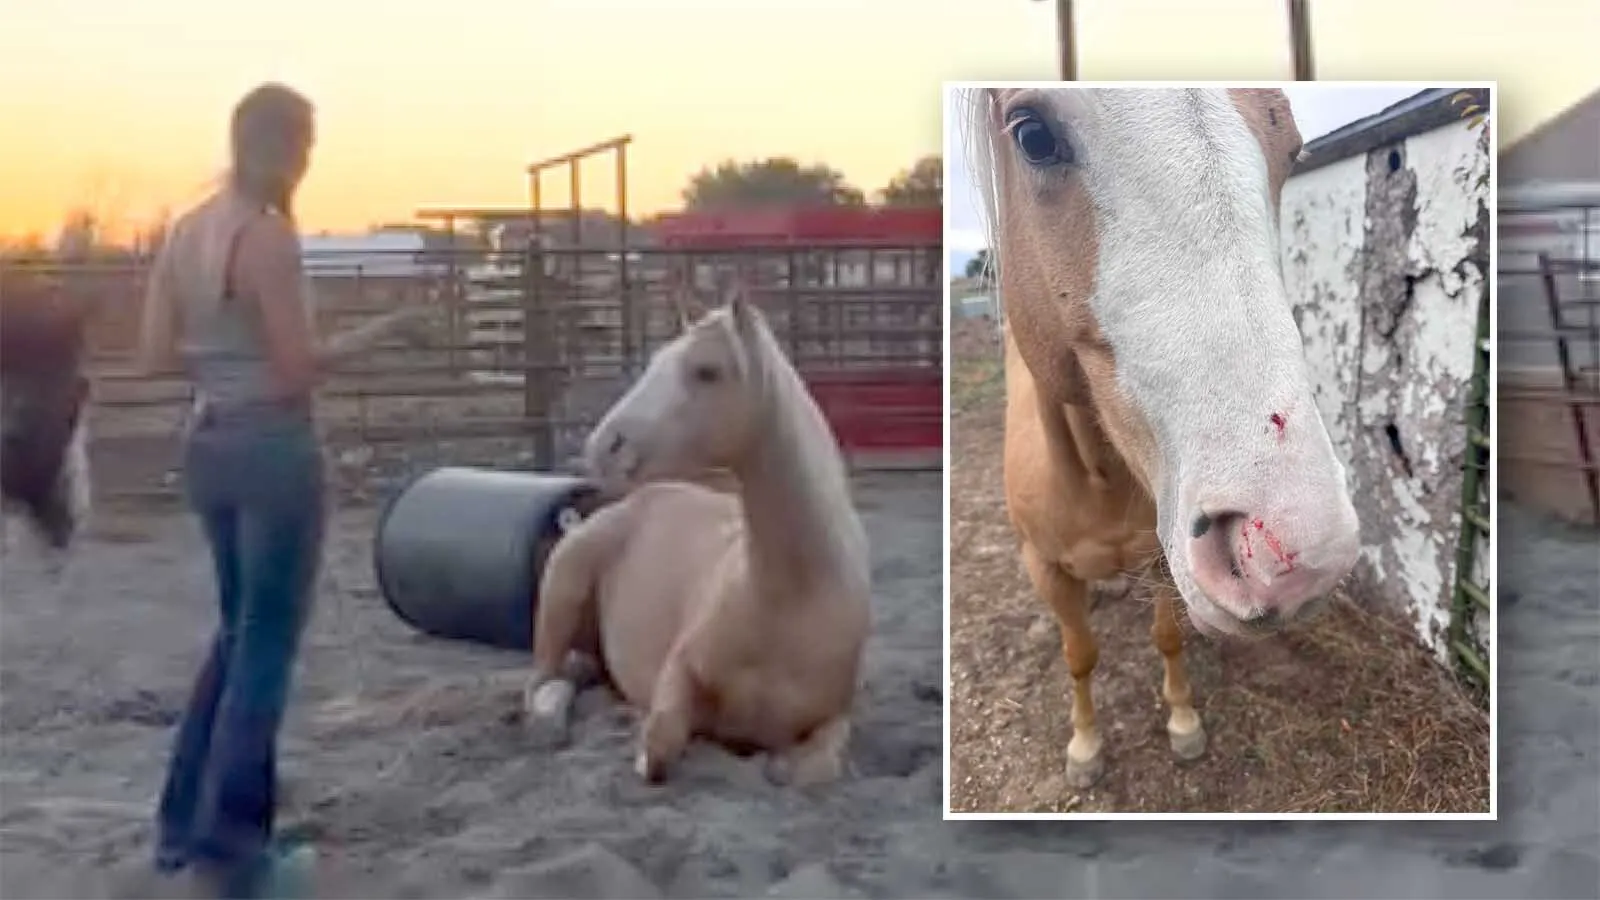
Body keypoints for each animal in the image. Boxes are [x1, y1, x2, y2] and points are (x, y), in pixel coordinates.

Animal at [521, 287, 872, 787]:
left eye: (707, 371)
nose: (602, 446)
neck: (789, 599)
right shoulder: (678, 673)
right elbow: (660, 745)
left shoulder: (836, 716)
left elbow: (816, 768)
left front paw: (783, 765)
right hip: (563, 586)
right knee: (542, 683)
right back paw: (549, 724)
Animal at [958, 86, 1361, 788]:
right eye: (1031, 133)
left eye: (1292, 147)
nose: (1295, 556)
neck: (1099, 475)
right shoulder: (1045, 570)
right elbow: (1079, 655)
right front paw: (1085, 747)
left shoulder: (1157, 558)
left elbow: (1167, 639)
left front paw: (1182, 723)